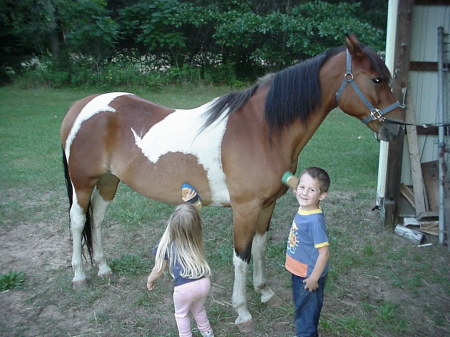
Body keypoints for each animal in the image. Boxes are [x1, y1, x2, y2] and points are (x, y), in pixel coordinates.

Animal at [59, 33, 400, 328]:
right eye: (376, 79)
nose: (396, 128)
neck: (261, 130)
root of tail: (81, 106)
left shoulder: (267, 205)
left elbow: (260, 248)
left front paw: (265, 293)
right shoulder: (245, 209)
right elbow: (242, 257)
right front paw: (243, 312)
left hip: (108, 181)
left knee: (97, 220)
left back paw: (104, 268)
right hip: (83, 183)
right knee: (78, 221)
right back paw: (79, 276)